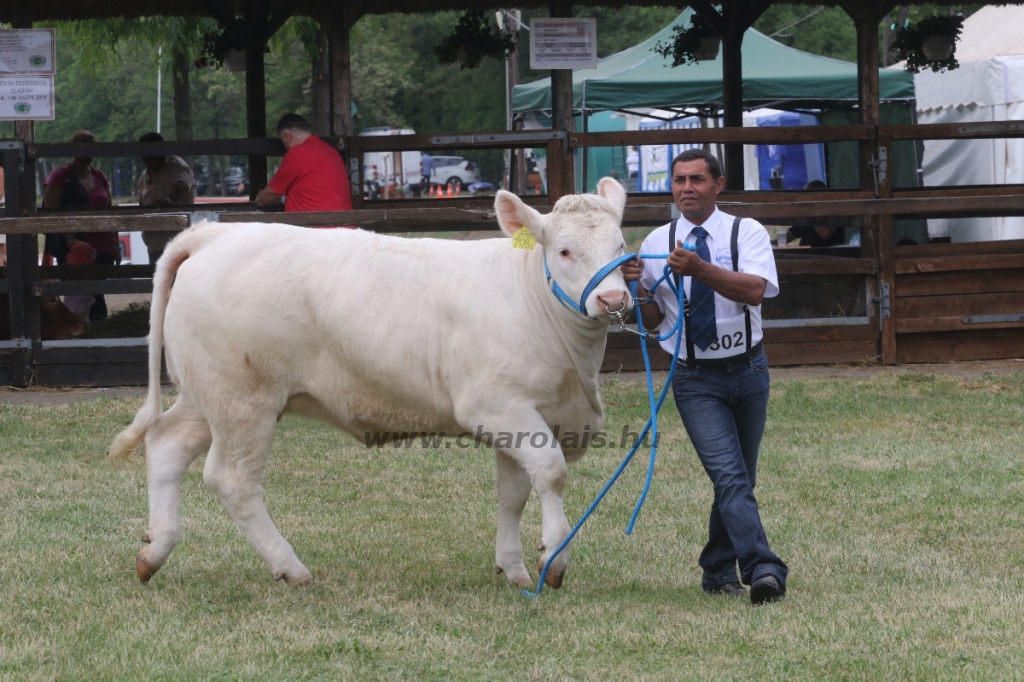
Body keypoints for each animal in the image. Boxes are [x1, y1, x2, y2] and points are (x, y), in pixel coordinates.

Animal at [108, 178, 626, 585]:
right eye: (564, 250)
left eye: (621, 247)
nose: (614, 299)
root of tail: (214, 235)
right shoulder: (495, 405)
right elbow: (551, 471)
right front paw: (553, 558)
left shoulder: (524, 415)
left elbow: (513, 493)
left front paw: (513, 568)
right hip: (243, 401)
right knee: (232, 479)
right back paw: (290, 567)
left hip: (207, 395)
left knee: (168, 444)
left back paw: (154, 551)